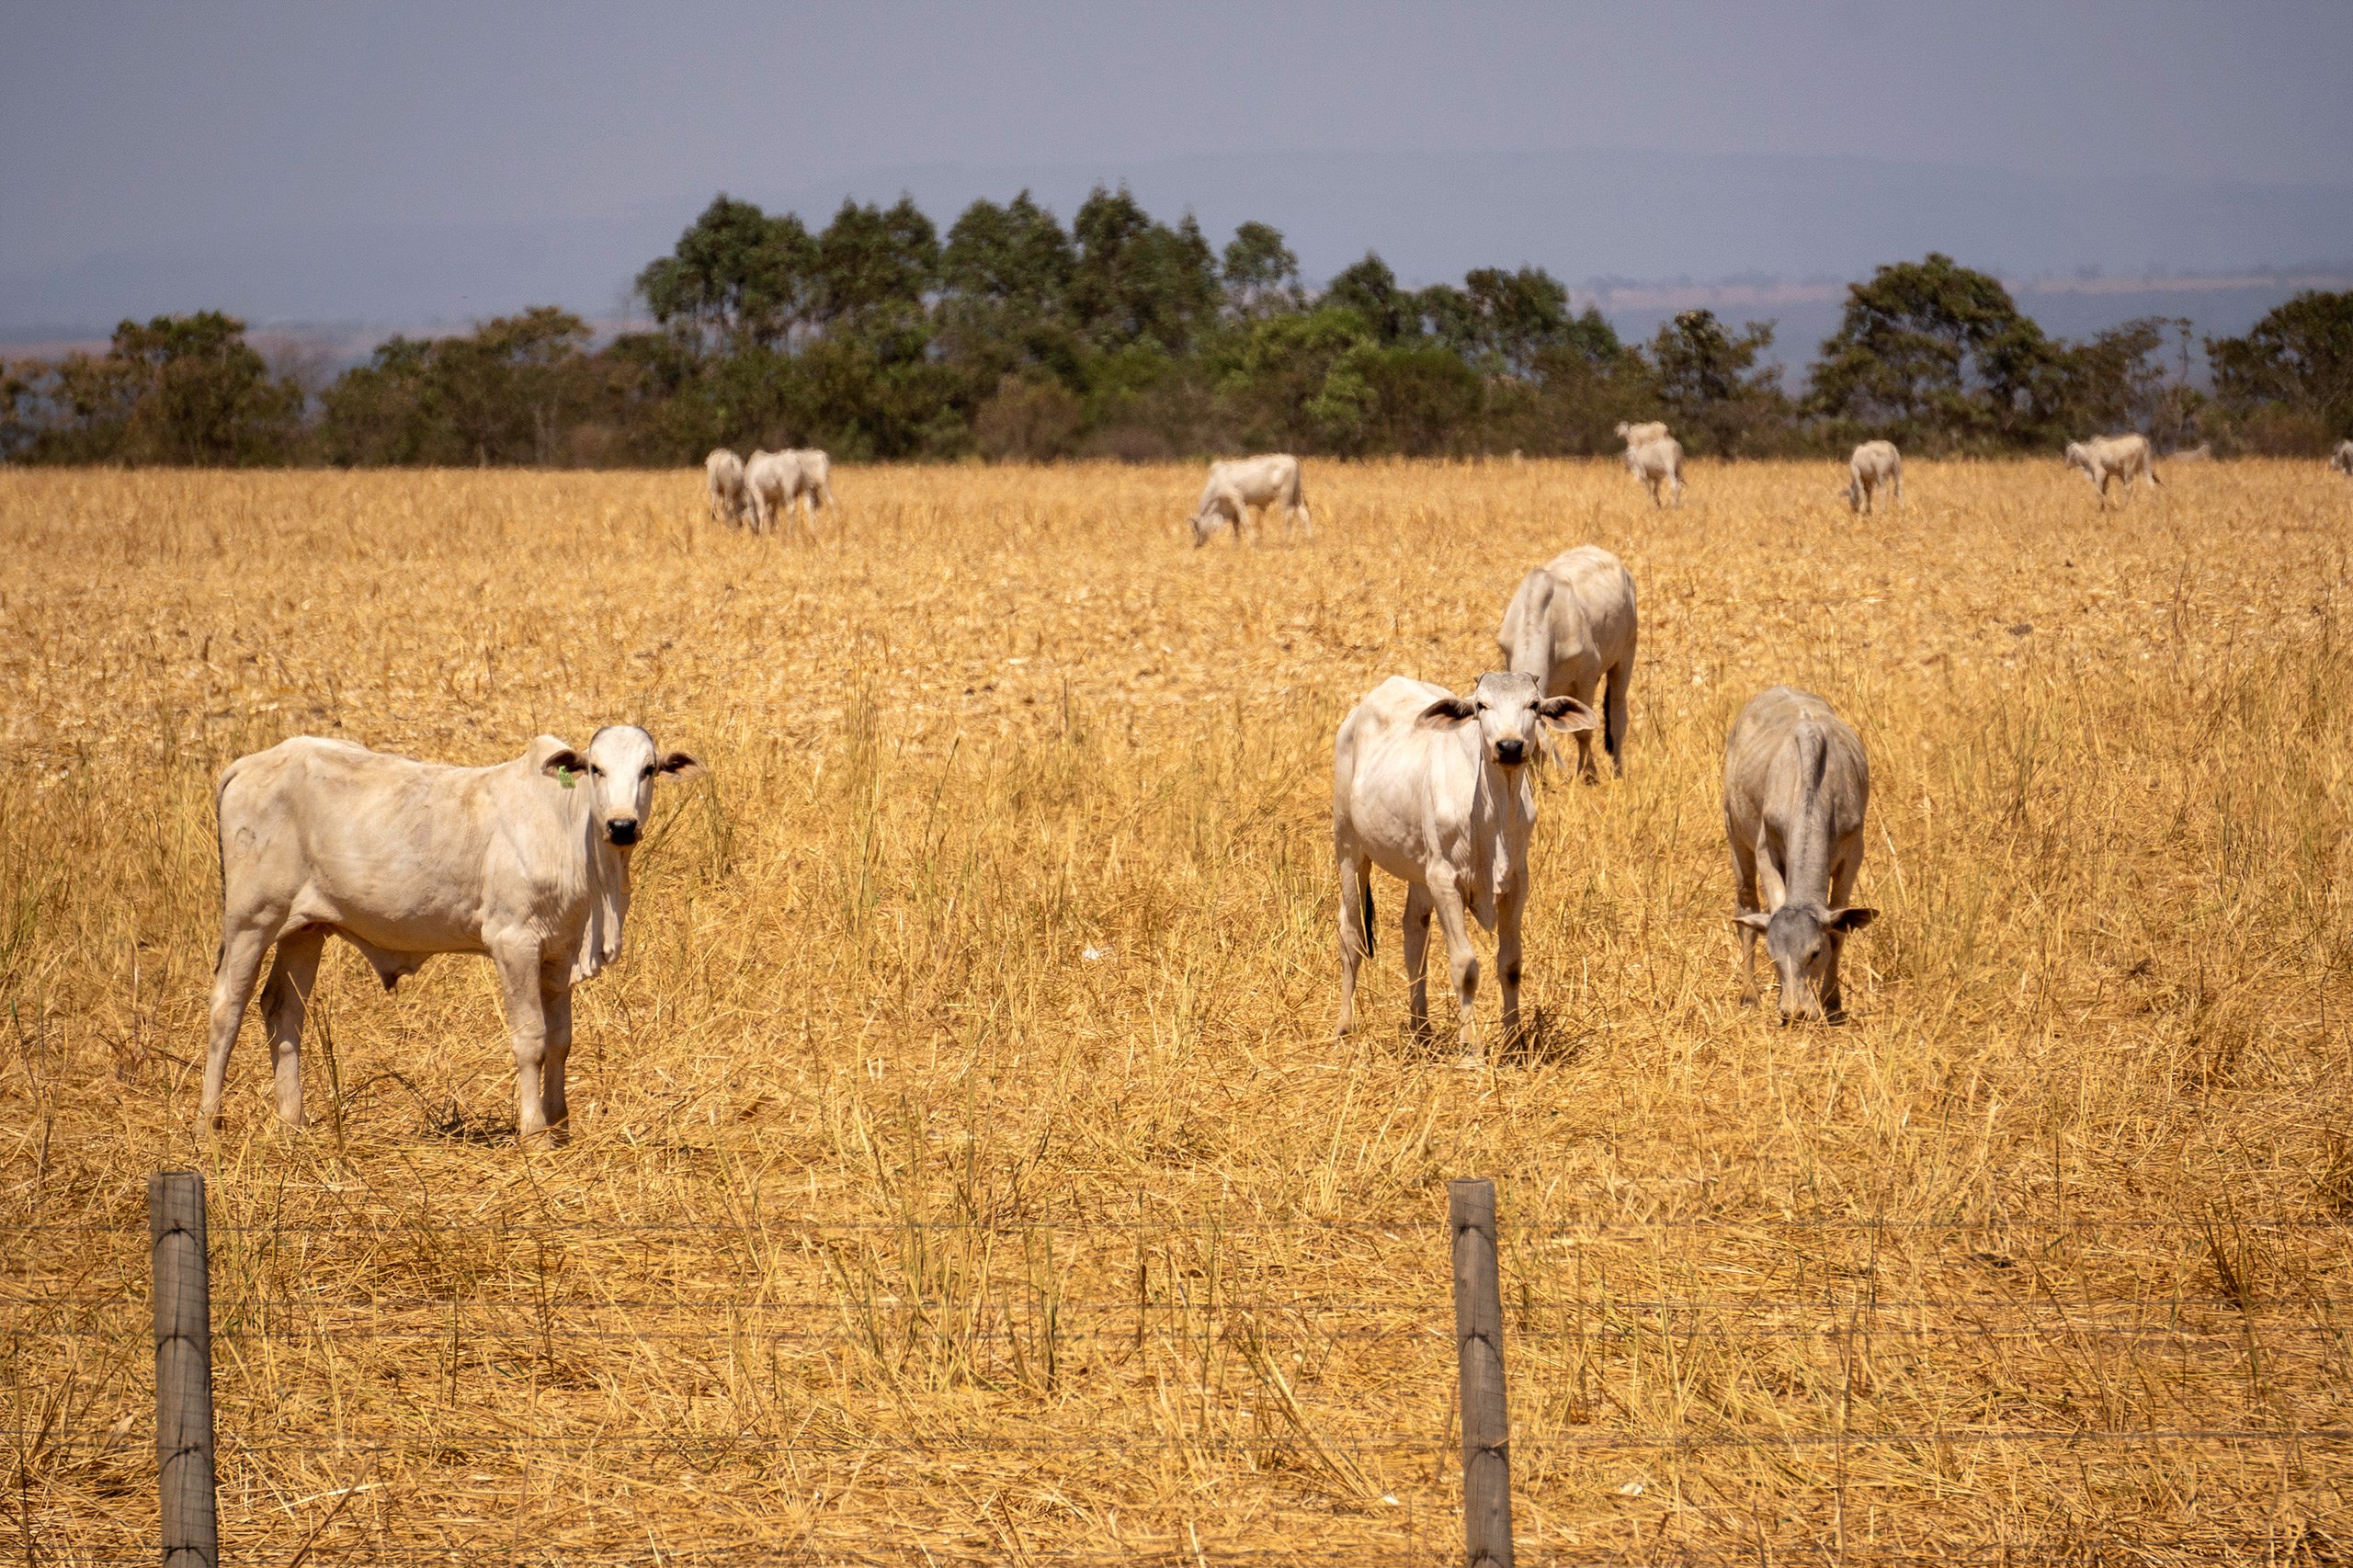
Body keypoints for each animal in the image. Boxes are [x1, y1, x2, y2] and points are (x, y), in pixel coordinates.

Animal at [203, 720, 700, 1134]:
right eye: (596, 769)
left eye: (649, 770)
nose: (622, 826)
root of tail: (250, 764)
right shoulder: (514, 943)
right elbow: (532, 1039)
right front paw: (535, 1131)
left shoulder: (561, 951)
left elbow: (561, 1039)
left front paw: (560, 1124)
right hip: (250, 921)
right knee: (228, 1007)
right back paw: (209, 1122)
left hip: (305, 930)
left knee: (283, 1010)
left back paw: (294, 1121)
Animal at [1186, 449, 1317, 546]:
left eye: (1195, 528)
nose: (1197, 544)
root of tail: (1292, 459)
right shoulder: (1232, 510)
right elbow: (1236, 526)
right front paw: (1236, 545)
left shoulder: (1237, 499)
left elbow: (1245, 521)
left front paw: (1252, 542)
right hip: (1297, 496)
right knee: (1304, 514)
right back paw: (1310, 540)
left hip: (1284, 496)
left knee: (1288, 515)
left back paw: (1284, 541)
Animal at [1336, 664, 1590, 1068]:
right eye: (1481, 705)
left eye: (1534, 705)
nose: (1509, 746)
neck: (1492, 815)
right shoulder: (1445, 880)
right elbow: (1465, 966)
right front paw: (1471, 1049)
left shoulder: (1516, 882)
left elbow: (1511, 964)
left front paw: (1514, 1043)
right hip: (1349, 844)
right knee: (1351, 931)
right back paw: (1345, 1026)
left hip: (1418, 870)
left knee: (1414, 933)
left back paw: (1421, 1029)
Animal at [1496, 541, 1647, 777]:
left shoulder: (1586, 679)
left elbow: (1583, 731)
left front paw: (1588, 774)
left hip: (1625, 656)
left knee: (1617, 714)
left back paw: (1618, 771)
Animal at [1712, 682, 1872, 1021]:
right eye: (1772, 954)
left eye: (1815, 952)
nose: (1794, 1011)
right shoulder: (1765, 847)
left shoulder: (1854, 851)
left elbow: (1839, 929)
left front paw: (1832, 1001)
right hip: (1734, 833)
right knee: (1746, 906)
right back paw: (1749, 993)